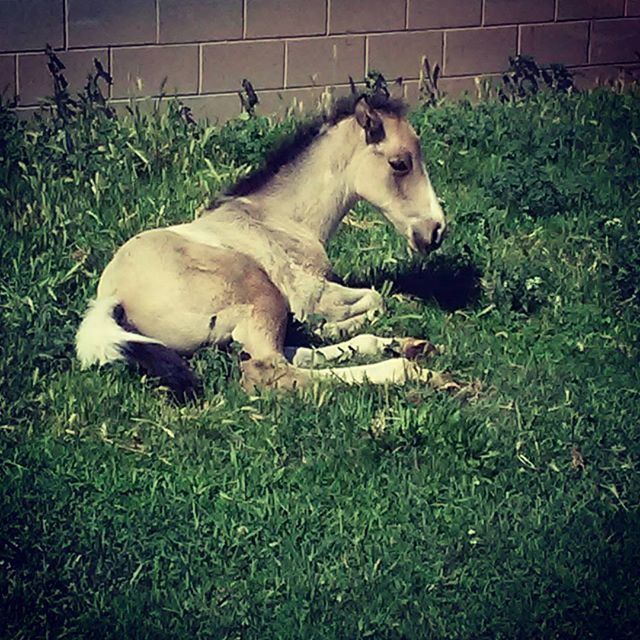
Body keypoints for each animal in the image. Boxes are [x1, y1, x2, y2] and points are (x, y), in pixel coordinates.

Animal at [76, 93, 450, 400]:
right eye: (400, 164)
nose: (436, 231)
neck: (281, 219)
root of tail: (111, 297)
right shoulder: (311, 292)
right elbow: (375, 298)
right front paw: (331, 324)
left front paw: (330, 327)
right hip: (262, 293)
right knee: (272, 369)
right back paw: (414, 371)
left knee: (295, 353)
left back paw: (406, 345)